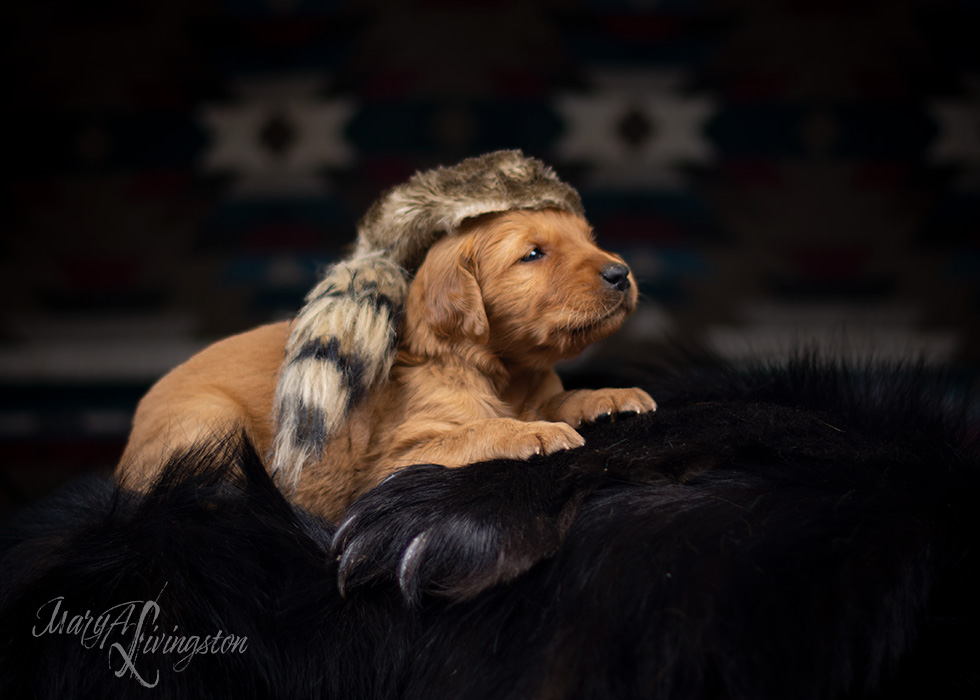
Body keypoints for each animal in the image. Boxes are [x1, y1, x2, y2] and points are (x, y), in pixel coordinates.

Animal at [118, 211, 660, 524]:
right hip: (210, 426)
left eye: (589, 239)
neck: (503, 372)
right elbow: (477, 430)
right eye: (532, 254)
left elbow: (562, 399)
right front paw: (531, 433)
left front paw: (608, 397)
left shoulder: (539, 390)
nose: (621, 273)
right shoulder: (392, 463)